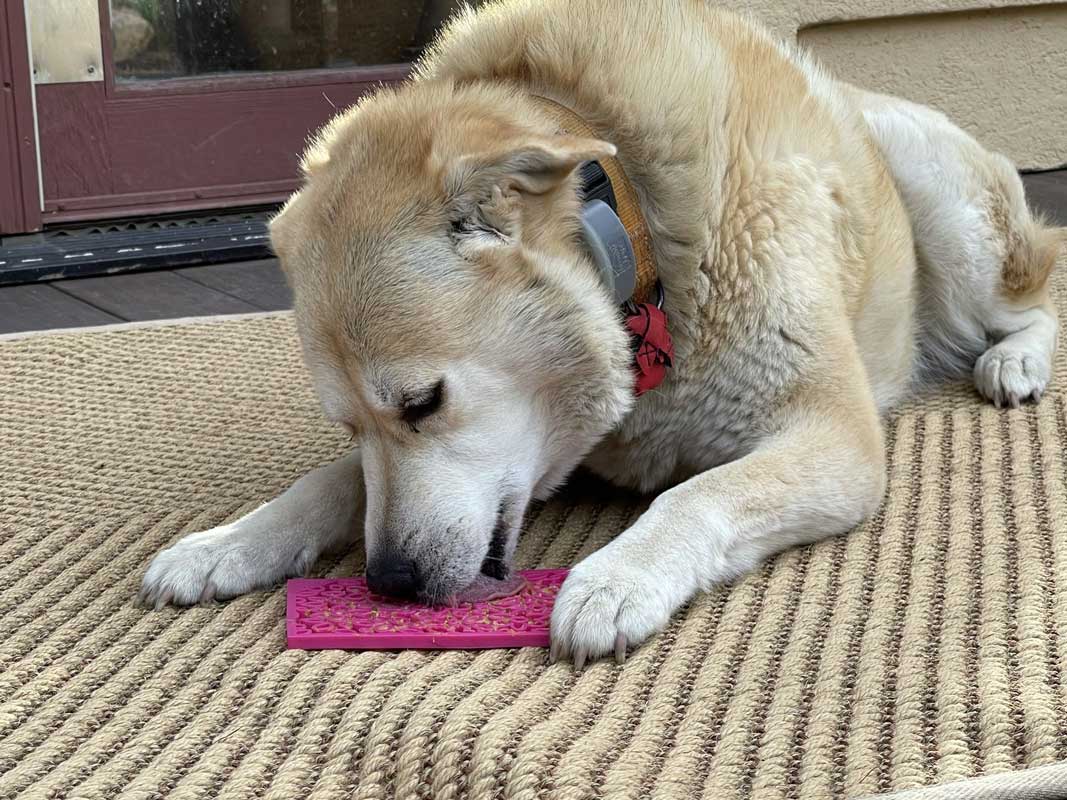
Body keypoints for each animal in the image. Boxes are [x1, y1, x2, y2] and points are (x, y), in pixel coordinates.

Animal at [141, 0, 1058, 665]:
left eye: (424, 402)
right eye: (350, 424)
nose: (390, 584)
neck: (643, 237)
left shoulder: (835, 436)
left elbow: (699, 493)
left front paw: (616, 578)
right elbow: (331, 487)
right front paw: (229, 543)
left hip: (948, 217)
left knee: (1034, 301)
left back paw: (1013, 363)